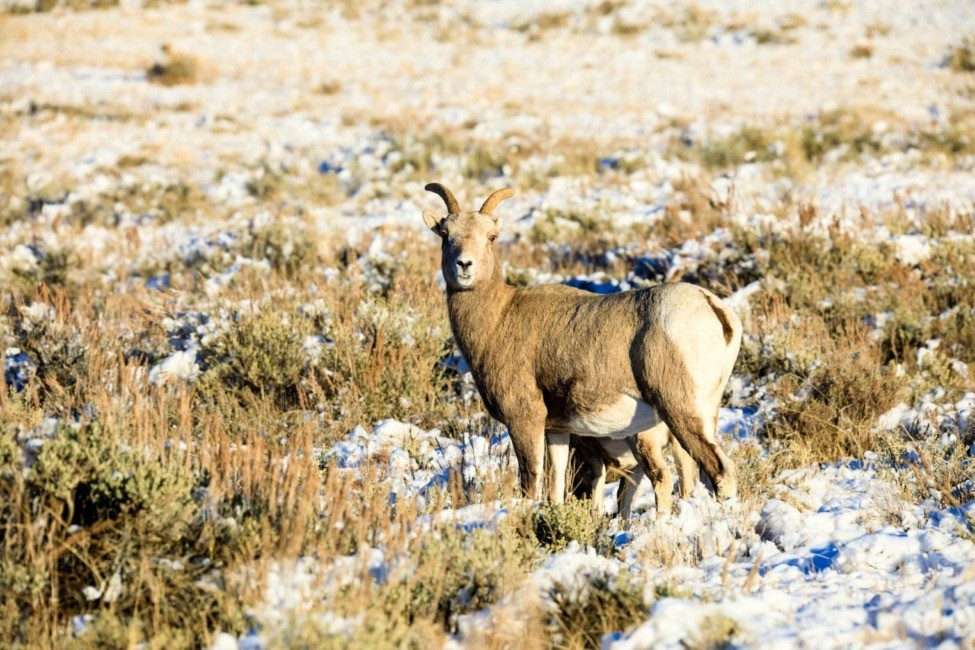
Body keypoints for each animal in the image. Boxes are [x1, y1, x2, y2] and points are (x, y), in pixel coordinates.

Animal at [421, 182, 742, 512]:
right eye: (445, 234)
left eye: (491, 237)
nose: (464, 265)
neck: (500, 317)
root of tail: (714, 309)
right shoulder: (557, 431)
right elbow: (555, 484)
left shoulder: (525, 420)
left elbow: (531, 481)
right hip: (704, 415)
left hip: (679, 411)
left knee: (718, 471)